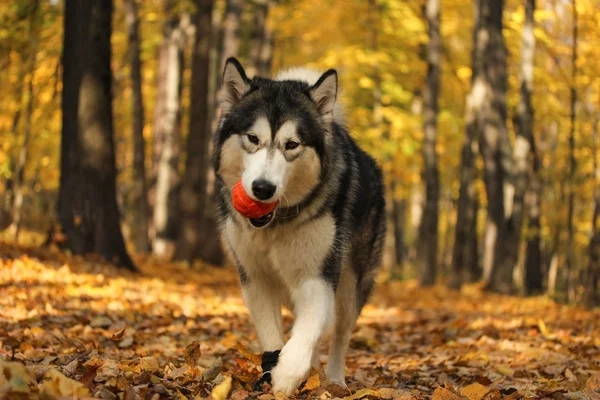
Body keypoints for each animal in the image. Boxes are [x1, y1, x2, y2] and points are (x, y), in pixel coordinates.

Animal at [213, 57, 386, 396]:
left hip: (351, 284)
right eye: (253, 139)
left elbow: (308, 329)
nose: (262, 188)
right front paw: (274, 371)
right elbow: (272, 336)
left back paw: (333, 379)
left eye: (291, 144)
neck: (273, 227)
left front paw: (287, 375)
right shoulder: (254, 279)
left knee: (339, 333)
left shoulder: (317, 277)